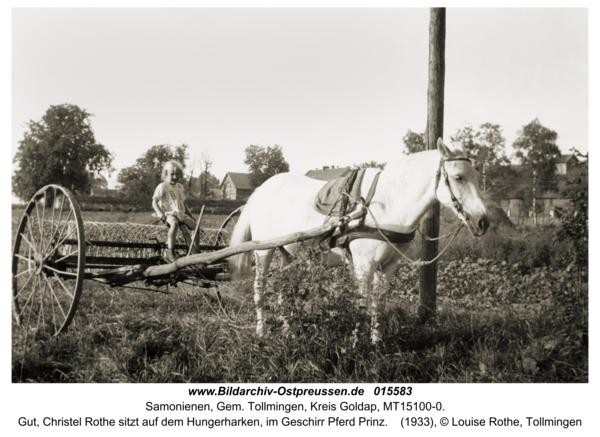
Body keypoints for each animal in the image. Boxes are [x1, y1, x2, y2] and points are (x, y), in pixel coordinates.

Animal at [229, 138, 488, 338]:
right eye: (458, 177)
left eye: (477, 176)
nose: (483, 221)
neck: (386, 204)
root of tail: (262, 188)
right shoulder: (364, 265)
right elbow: (362, 304)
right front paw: (356, 345)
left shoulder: (389, 265)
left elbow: (378, 304)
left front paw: (376, 342)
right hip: (263, 251)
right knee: (260, 289)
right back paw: (262, 333)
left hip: (289, 254)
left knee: (284, 291)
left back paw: (288, 332)